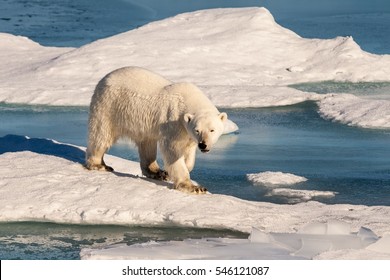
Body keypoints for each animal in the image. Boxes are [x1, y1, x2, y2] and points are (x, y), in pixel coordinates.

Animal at [84, 66, 227, 194]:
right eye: (197, 130)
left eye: (212, 130)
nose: (203, 145)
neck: (189, 99)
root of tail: (104, 78)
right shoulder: (174, 122)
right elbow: (173, 150)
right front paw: (194, 187)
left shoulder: (186, 132)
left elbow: (188, 151)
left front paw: (181, 167)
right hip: (109, 105)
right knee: (101, 135)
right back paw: (99, 164)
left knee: (147, 143)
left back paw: (157, 172)